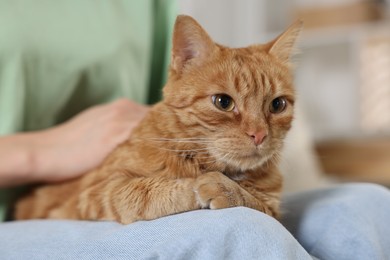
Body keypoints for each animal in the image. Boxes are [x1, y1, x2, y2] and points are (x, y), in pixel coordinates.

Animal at [14, 15, 302, 224]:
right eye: (223, 102)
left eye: (277, 105)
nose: (259, 134)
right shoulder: (97, 190)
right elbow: (143, 191)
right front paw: (200, 185)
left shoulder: (273, 206)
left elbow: (258, 203)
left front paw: (228, 189)